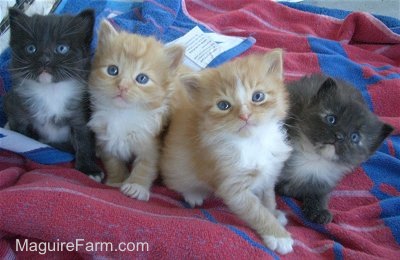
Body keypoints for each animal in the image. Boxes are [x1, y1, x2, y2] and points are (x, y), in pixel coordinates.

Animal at [3, 7, 103, 181]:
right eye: (31, 48)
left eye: (62, 48)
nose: (44, 59)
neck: (50, 90)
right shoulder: (17, 109)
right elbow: (24, 135)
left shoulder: (80, 115)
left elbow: (84, 142)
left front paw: (88, 169)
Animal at [87, 21, 184, 201]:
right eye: (112, 70)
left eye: (142, 79)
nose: (122, 86)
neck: (122, 113)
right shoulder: (105, 137)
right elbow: (112, 162)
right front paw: (117, 180)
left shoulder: (151, 143)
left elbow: (145, 166)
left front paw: (136, 186)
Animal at [161, 49, 296, 255]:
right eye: (223, 105)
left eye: (258, 96)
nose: (245, 115)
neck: (252, 142)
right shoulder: (232, 185)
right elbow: (257, 212)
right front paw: (278, 235)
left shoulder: (270, 171)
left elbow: (268, 197)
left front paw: (274, 213)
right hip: (177, 166)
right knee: (177, 181)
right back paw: (193, 194)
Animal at [276, 74, 394, 223]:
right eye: (331, 119)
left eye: (355, 137)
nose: (339, 136)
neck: (314, 157)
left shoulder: (323, 182)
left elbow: (318, 195)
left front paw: (319, 211)